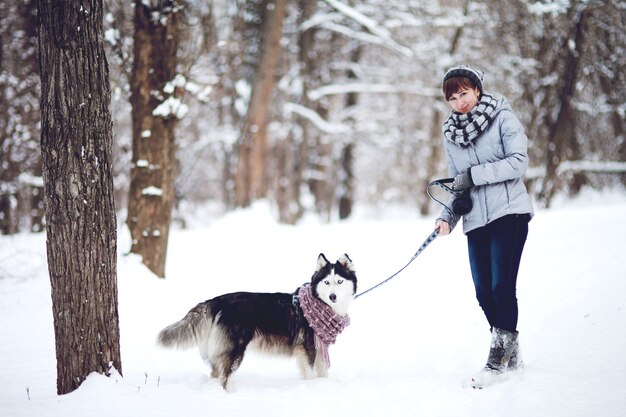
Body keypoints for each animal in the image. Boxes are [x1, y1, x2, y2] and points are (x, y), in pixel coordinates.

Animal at [155, 252, 356, 388]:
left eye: (339, 281)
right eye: (326, 282)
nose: (332, 297)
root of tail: (218, 300)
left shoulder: (318, 349)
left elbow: (322, 372)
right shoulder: (308, 348)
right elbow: (311, 373)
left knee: (215, 373)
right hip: (235, 350)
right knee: (224, 377)